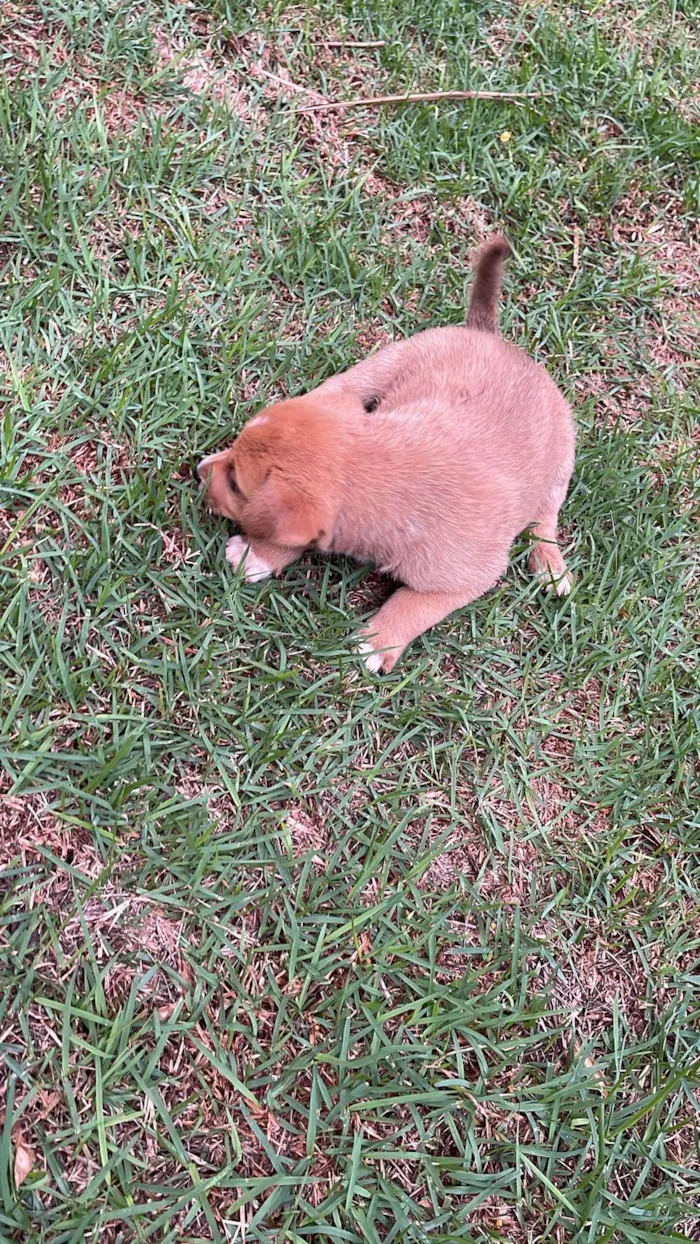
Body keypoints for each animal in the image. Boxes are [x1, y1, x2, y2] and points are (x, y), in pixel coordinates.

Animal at [197, 238, 574, 676]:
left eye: (235, 483)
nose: (198, 470)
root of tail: (490, 336)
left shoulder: (469, 578)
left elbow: (414, 606)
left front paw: (376, 643)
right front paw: (257, 554)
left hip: (561, 461)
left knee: (544, 521)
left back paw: (551, 567)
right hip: (382, 365)